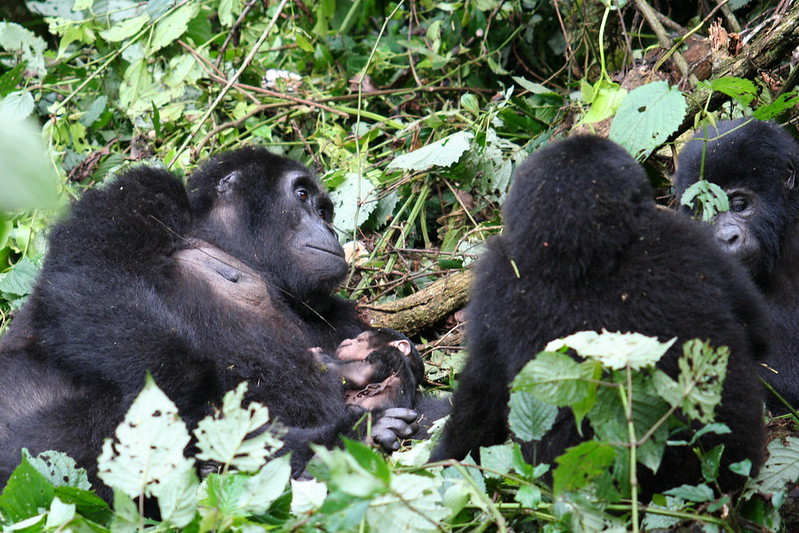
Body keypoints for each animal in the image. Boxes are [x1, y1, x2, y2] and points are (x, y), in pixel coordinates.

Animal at [0, 147, 422, 494]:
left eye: (324, 211)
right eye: (302, 196)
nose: (329, 229)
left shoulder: (336, 313)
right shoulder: (142, 188)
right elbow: (93, 276)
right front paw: (205, 412)